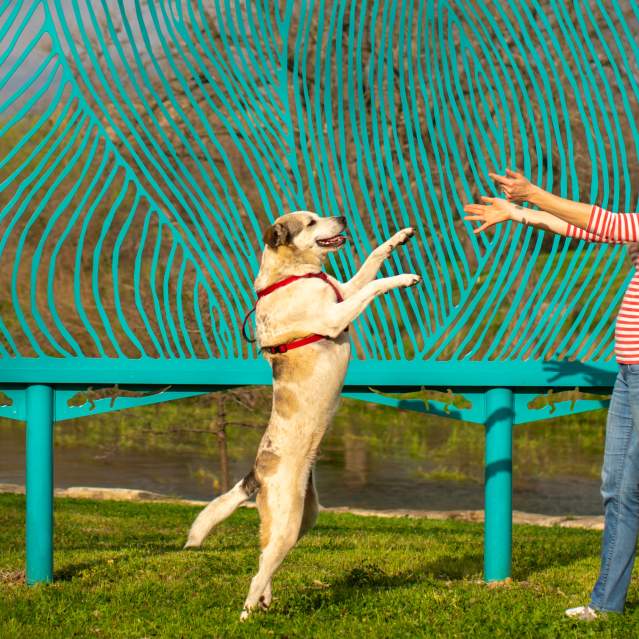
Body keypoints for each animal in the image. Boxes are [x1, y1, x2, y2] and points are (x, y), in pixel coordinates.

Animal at [185, 211, 420, 620]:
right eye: (310, 222)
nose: (341, 216)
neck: (295, 274)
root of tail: (257, 473)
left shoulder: (343, 290)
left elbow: (371, 262)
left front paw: (399, 238)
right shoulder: (336, 314)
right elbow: (373, 285)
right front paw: (404, 278)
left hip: (302, 519)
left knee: (264, 560)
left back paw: (265, 600)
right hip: (289, 519)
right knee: (258, 572)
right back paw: (248, 613)